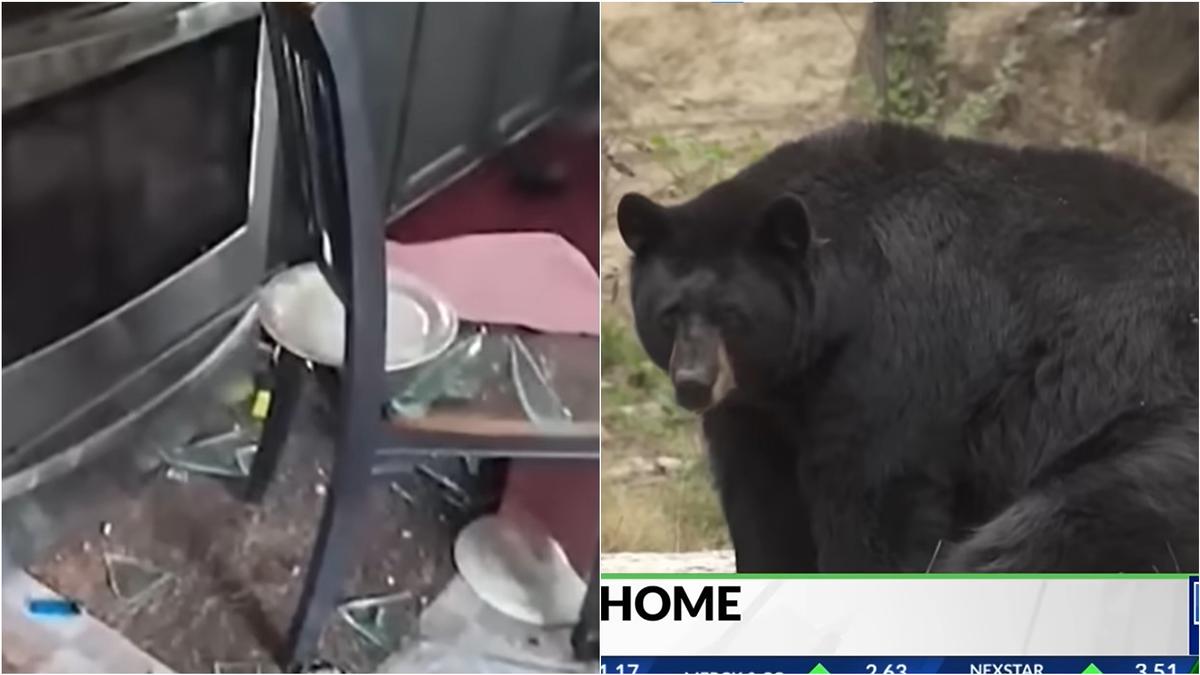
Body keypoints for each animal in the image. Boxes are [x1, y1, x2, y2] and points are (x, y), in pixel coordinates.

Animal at [616, 121, 1198, 573]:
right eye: (669, 314)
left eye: (733, 315)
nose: (694, 384)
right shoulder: (757, 405)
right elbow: (761, 497)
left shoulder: (897, 350)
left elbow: (875, 491)